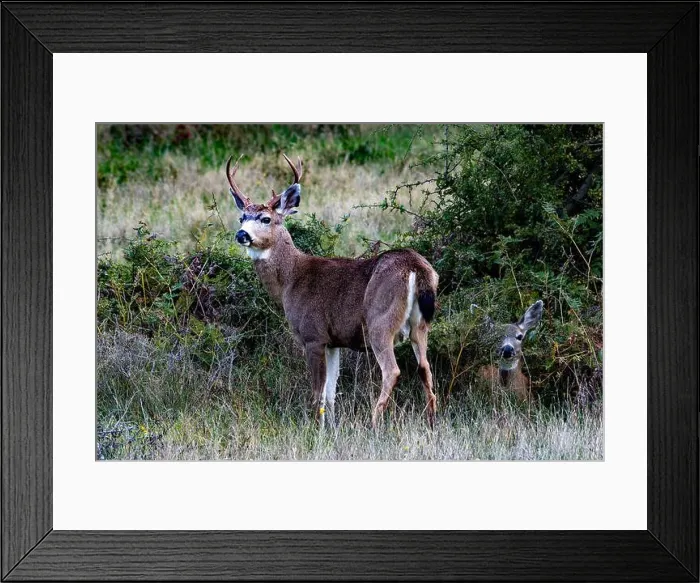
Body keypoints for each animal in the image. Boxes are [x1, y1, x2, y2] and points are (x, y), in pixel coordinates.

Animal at [225, 154, 440, 430]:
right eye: (242, 217)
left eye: (266, 219)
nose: (241, 234)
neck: (290, 279)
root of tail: (416, 267)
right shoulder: (333, 341)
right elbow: (331, 391)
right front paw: (331, 426)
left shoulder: (313, 335)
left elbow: (317, 391)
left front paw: (313, 426)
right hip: (421, 324)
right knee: (425, 367)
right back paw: (431, 421)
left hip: (380, 321)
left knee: (392, 371)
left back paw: (373, 422)